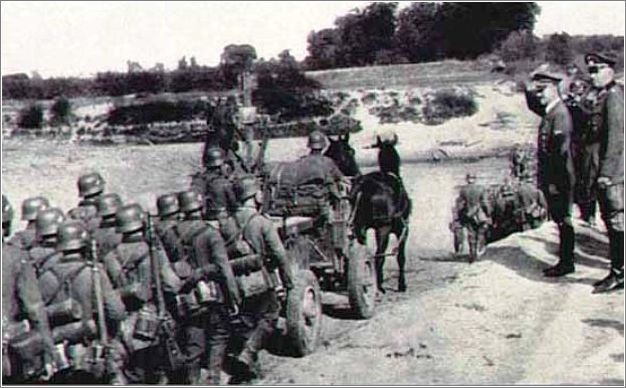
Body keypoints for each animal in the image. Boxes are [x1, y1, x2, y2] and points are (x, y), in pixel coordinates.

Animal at [324, 135, 412, 292]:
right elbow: (401, 257)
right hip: (382, 228)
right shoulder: (402, 229)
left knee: (364, 251)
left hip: (360, 227)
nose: (356, 173)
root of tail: (363, 186)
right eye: (350, 151)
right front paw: (402, 284)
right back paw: (378, 285)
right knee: (378, 256)